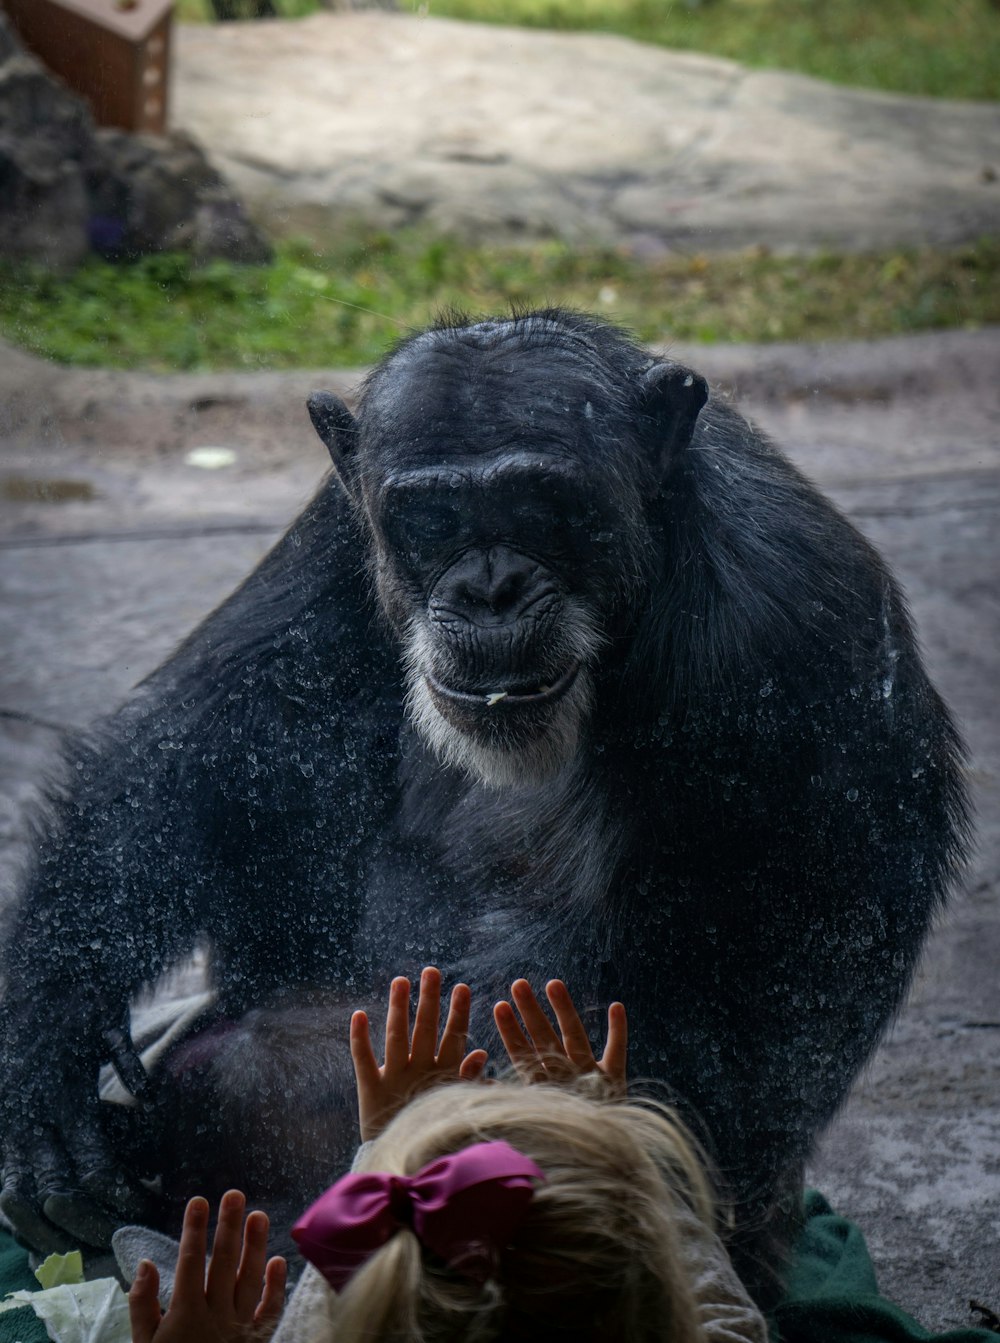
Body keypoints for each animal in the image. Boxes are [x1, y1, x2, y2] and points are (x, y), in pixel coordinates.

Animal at [0, 311, 966, 1300]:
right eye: (433, 518)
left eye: (542, 505)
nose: (489, 587)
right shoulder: (335, 527)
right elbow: (208, 744)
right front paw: (45, 1055)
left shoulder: (768, 630)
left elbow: (687, 1015)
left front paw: (203, 1108)